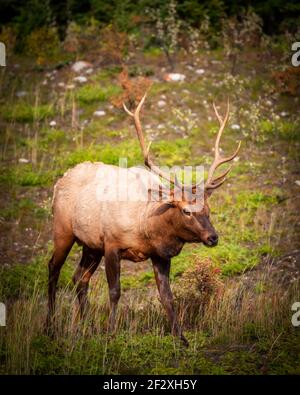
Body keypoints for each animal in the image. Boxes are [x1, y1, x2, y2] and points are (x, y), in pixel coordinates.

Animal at [47, 93, 240, 346]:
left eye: (208, 208)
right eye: (186, 211)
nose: (213, 237)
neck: (145, 227)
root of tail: (60, 180)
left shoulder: (159, 254)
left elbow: (167, 296)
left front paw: (182, 339)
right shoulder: (112, 244)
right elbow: (115, 291)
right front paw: (111, 333)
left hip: (91, 245)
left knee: (79, 278)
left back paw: (87, 326)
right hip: (63, 230)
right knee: (53, 269)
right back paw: (50, 327)